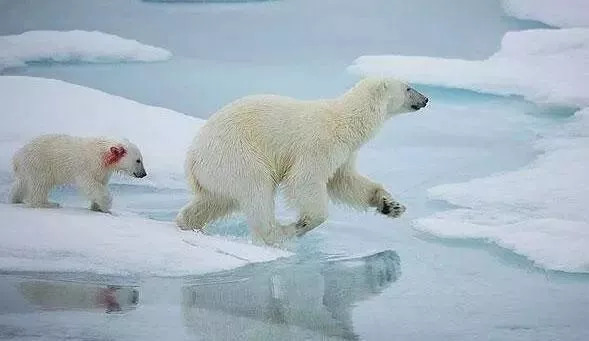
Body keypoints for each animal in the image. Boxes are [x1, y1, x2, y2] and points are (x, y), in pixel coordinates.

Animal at [176, 78, 428, 243]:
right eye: (408, 87)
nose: (426, 99)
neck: (345, 121)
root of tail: (192, 158)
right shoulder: (319, 144)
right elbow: (305, 180)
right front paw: (304, 222)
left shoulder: (344, 153)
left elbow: (344, 181)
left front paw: (391, 205)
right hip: (235, 156)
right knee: (257, 190)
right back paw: (280, 232)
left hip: (215, 173)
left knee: (216, 200)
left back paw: (188, 224)